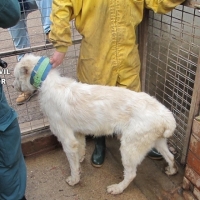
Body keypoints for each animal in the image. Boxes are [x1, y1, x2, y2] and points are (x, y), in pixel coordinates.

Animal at [13, 54, 177, 194]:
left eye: (15, 77)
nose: (14, 87)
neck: (48, 82)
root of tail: (166, 115)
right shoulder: (77, 133)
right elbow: (80, 149)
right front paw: (80, 159)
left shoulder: (66, 139)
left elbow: (73, 165)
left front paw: (74, 179)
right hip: (158, 142)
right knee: (170, 157)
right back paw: (171, 170)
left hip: (129, 148)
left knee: (131, 174)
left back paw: (117, 188)